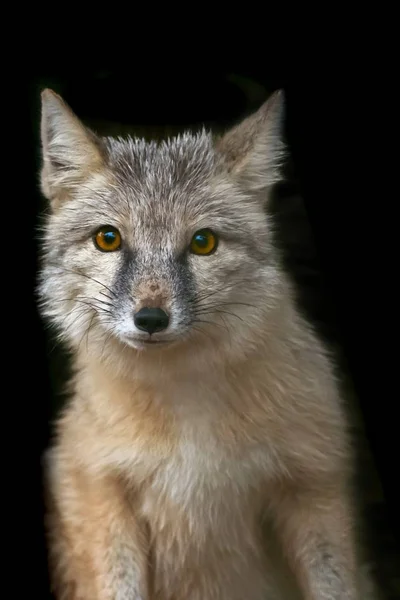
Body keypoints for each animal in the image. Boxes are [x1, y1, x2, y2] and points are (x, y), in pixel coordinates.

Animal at [36, 89, 378, 600]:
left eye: (203, 242)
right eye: (108, 238)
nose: (150, 319)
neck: (188, 427)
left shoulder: (315, 486)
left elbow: (335, 587)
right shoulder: (99, 488)